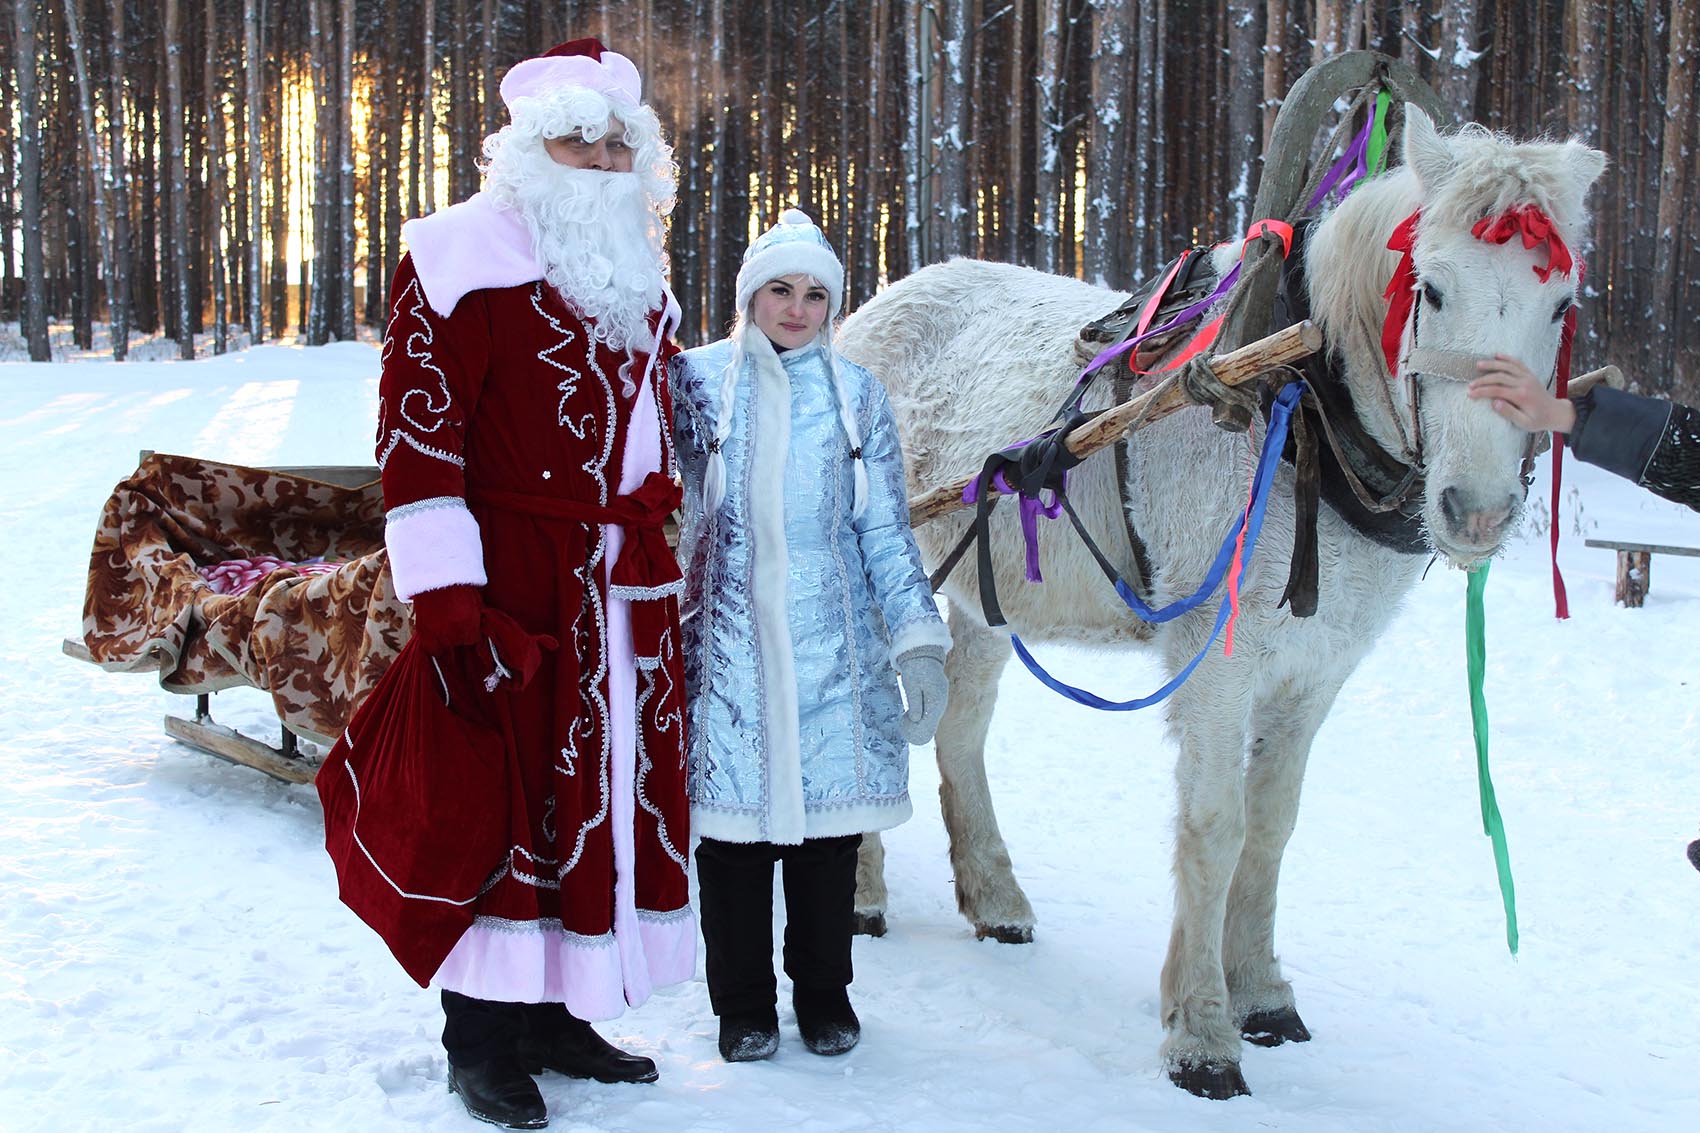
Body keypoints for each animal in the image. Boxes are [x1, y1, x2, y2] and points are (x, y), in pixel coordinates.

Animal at [836, 108, 1604, 1095]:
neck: (1304, 408)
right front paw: (1200, 1029)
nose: (1476, 510)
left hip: (980, 595)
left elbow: (1272, 826)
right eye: (1431, 290)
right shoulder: (1219, 660)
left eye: (1561, 305)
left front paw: (1264, 993)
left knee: (960, 733)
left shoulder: (1317, 668)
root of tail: (874, 306)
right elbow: (1215, 824)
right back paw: (860, 891)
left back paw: (996, 896)